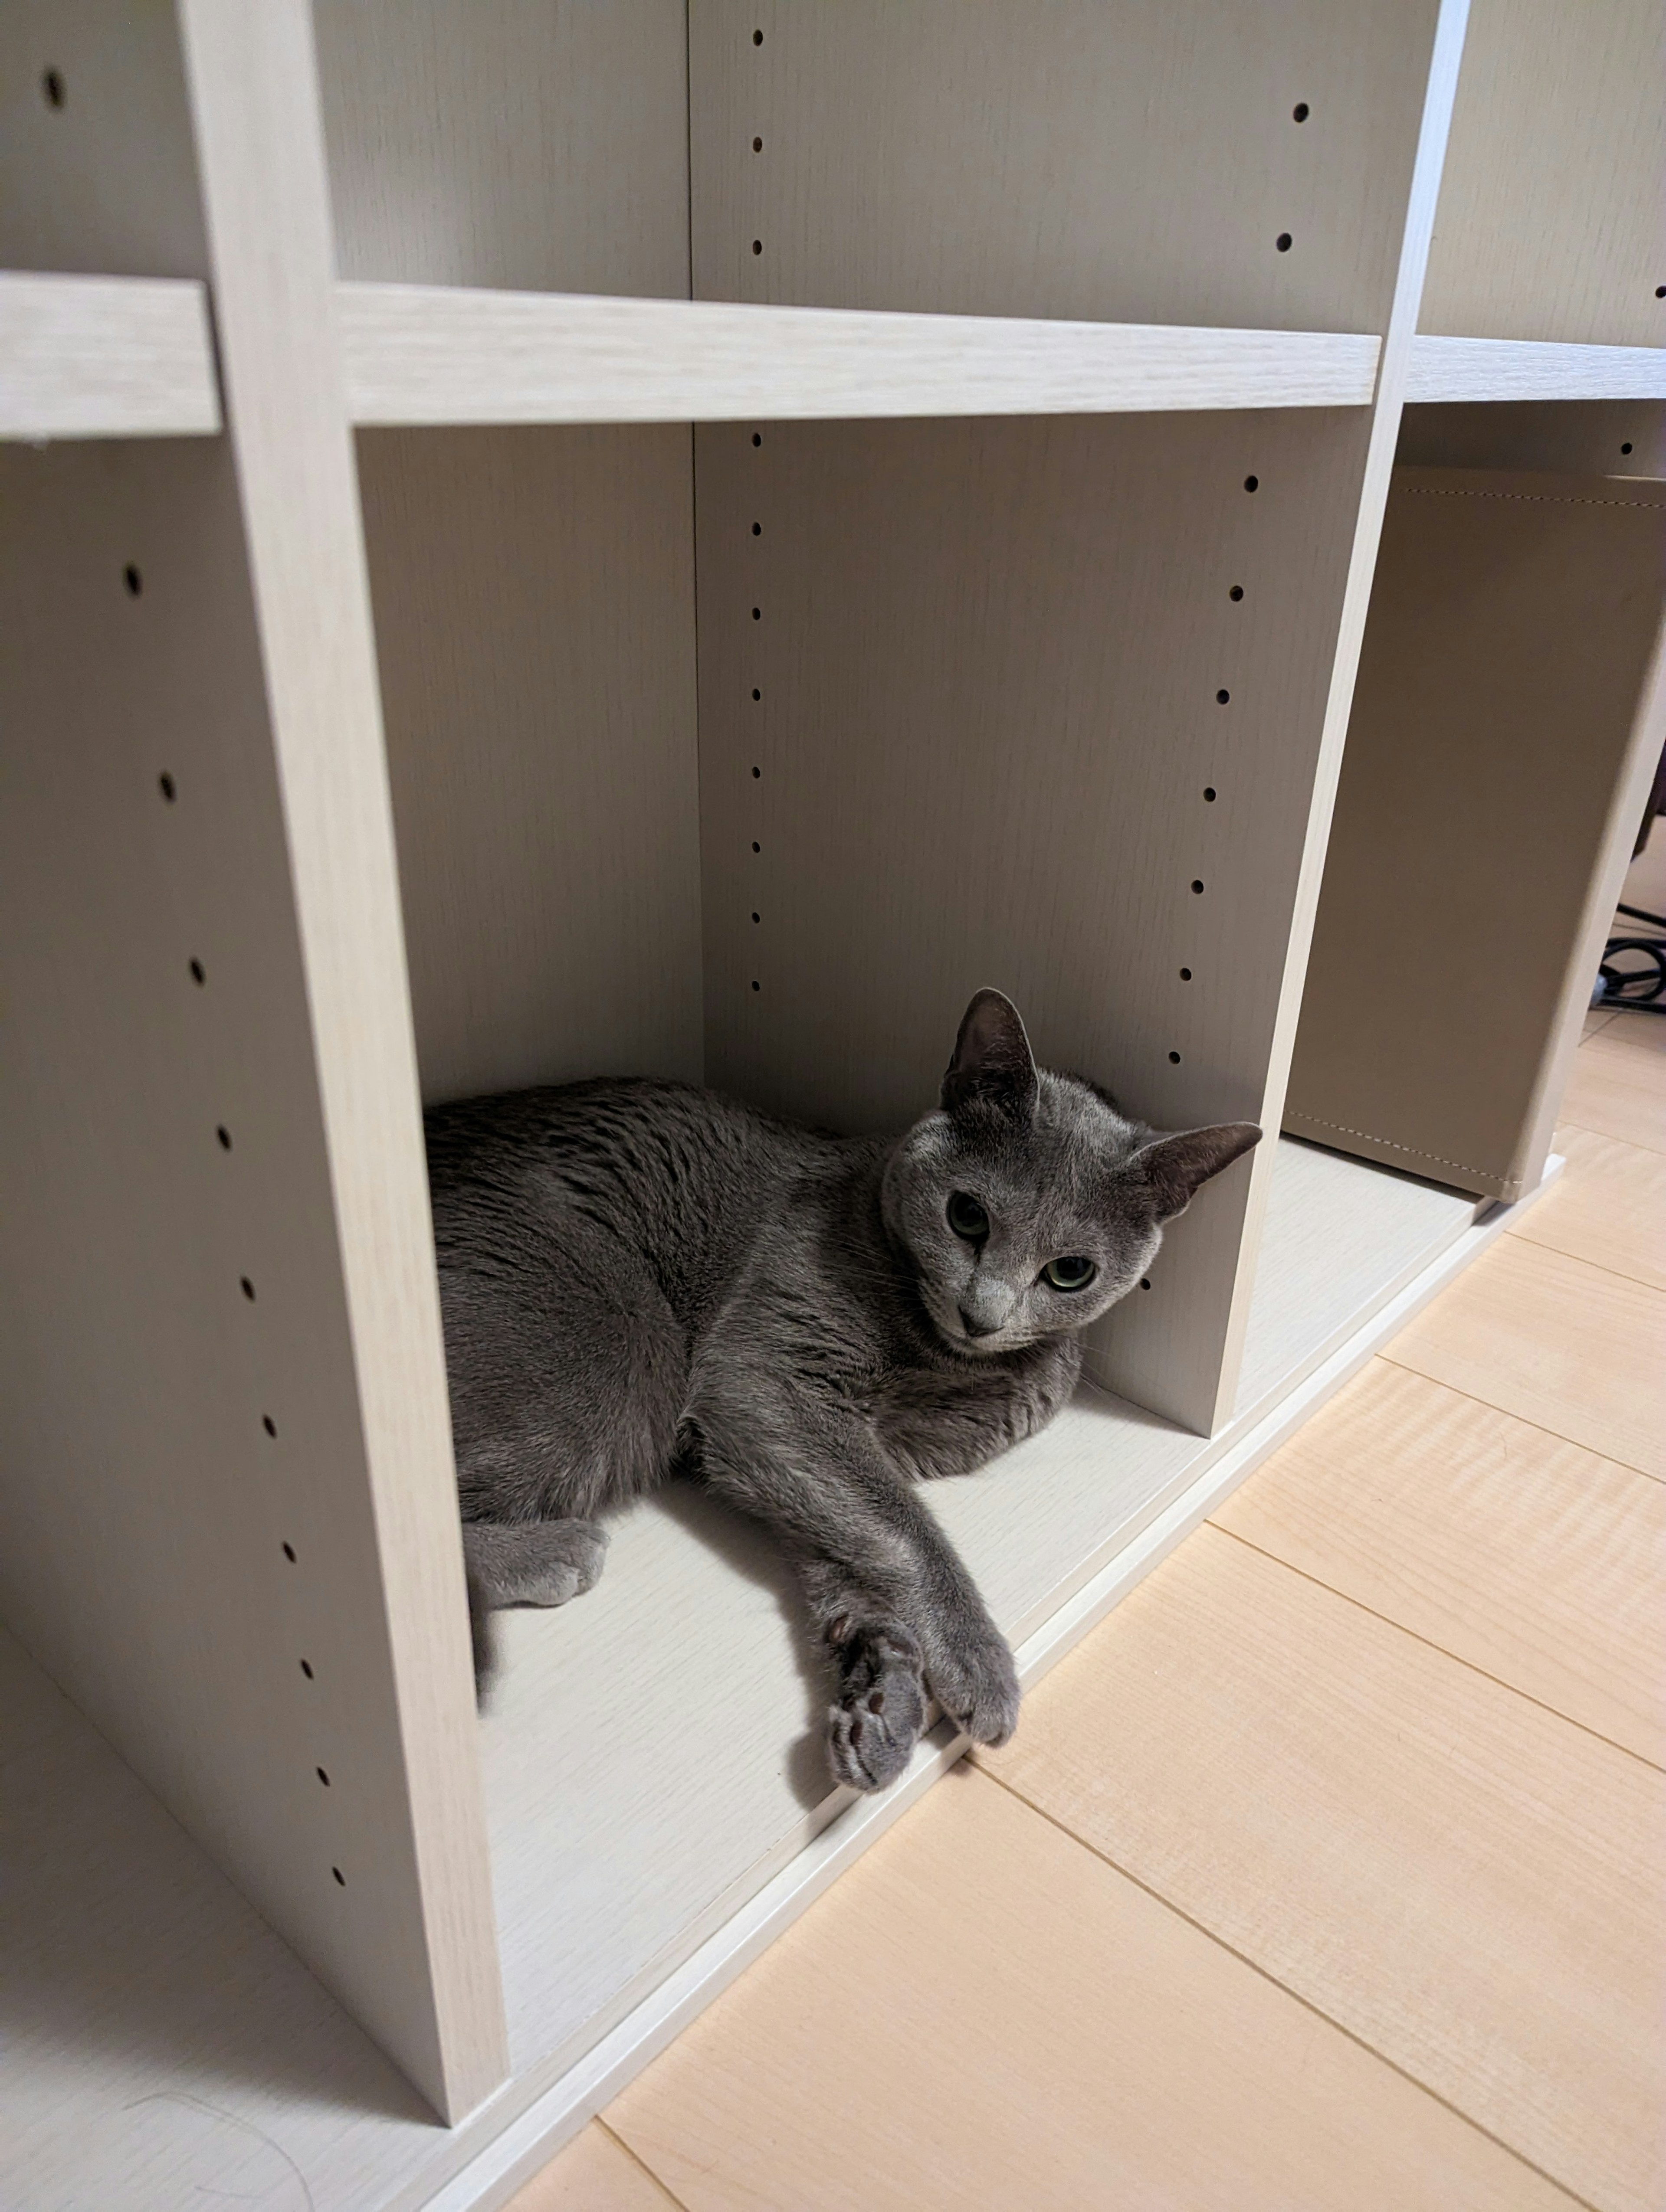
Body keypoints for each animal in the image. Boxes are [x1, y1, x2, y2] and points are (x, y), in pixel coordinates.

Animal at [423, 995, 1256, 1787]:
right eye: (967, 1216)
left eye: (1071, 1272)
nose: (982, 1315)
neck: (942, 1360)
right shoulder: (766, 1382)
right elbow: (909, 1534)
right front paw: (981, 1669)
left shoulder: (801, 1454)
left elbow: (854, 1548)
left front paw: (882, 1695)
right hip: (616, 1352)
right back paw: (553, 1549)